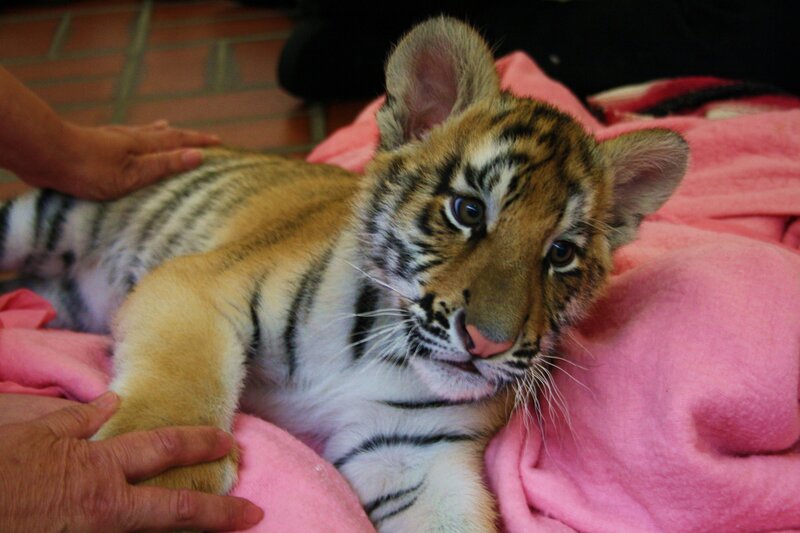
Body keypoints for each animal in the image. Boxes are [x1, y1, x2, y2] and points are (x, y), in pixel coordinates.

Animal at [0, 17, 688, 532]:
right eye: (468, 211)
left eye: (561, 254)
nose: (487, 344)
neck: (377, 349)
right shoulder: (196, 287)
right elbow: (182, 384)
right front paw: (158, 481)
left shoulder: (409, 454)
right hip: (34, 220)